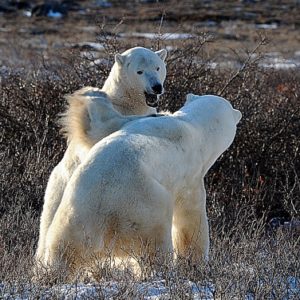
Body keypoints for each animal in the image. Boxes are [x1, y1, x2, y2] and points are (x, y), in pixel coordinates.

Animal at [43, 95, 241, 276]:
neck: (191, 125)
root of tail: (101, 221)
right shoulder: (189, 175)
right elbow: (190, 219)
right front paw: (195, 262)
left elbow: (102, 126)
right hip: (143, 207)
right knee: (155, 244)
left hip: (71, 220)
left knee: (62, 254)